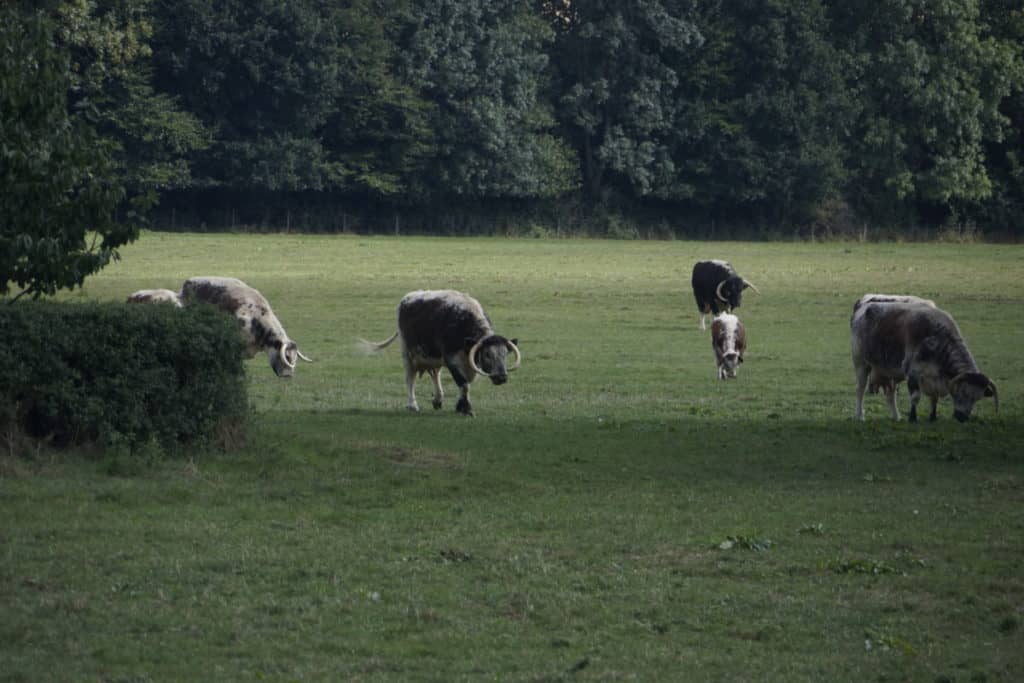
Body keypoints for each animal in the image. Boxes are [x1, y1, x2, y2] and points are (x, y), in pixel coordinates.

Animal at [360, 290, 520, 417]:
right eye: (487, 354)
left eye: (505, 354)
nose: (502, 377)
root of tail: (408, 297)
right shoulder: (452, 360)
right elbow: (464, 384)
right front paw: (466, 409)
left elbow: (466, 384)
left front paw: (460, 406)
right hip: (408, 354)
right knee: (410, 378)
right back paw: (412, 405)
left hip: (433, 358)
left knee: (435, 374)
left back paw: (438, 400)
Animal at [847, 294, 999, 421]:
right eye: (962, 392)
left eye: (976, 398)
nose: (961, 417)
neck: (935, 338)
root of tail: (864, 305)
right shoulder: (913, 373)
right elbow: (915, 397)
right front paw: (913, 418)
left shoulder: (935, 379)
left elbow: (934, 398)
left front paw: (933, 417)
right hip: (861, 363)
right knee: (860, 389)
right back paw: (859, 416)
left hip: (890, 373)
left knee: (890, 395)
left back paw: (896, 417)